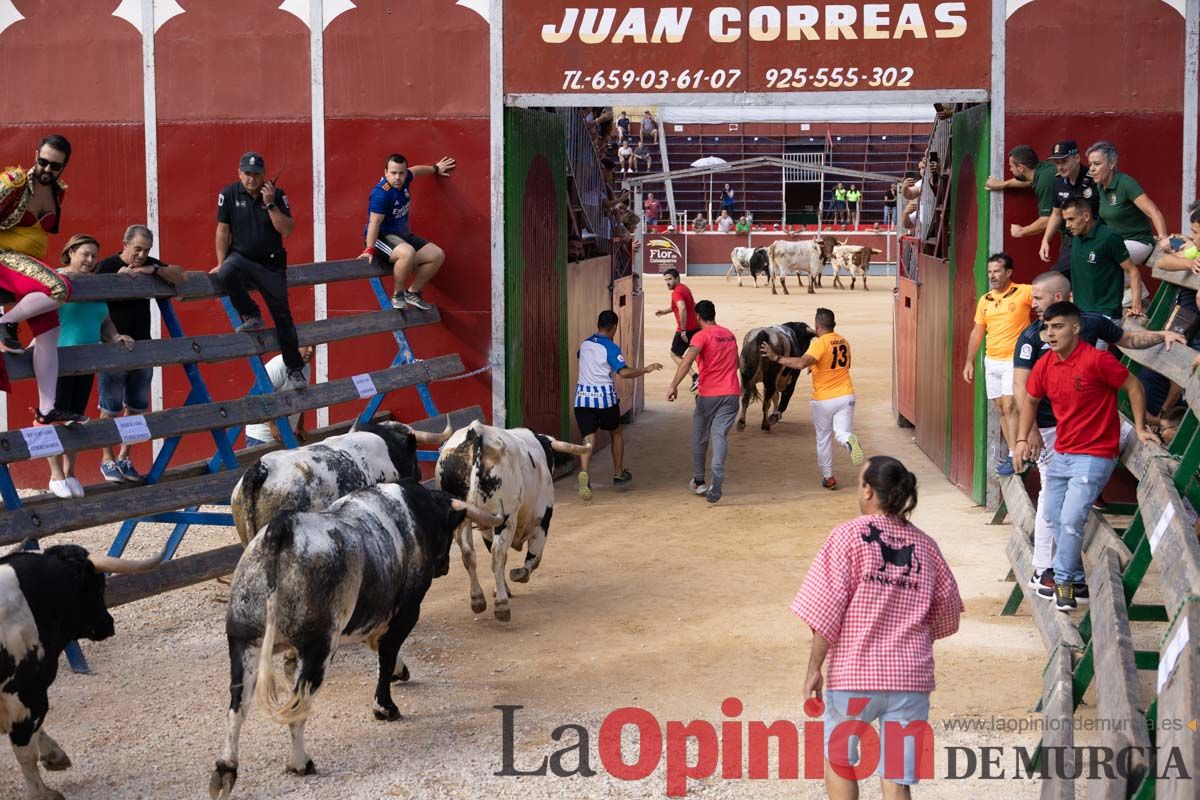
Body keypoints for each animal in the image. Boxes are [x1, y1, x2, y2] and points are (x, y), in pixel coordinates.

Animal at [0, 542, 162, 796]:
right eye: (99, 586)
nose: (109, 623)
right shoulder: (27, 694)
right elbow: (26, 753)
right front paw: (42, 794)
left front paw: (55, 756)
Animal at [208, 482, 499, 800]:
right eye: (446, 529)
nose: (444, 566)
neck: (414, 511)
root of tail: (282, 528)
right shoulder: (408, 609)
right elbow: (387, 652)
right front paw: (385, 708)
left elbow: (379, 646)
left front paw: (400, 672)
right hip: (318, 649)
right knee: (297, 705)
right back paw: (300, 763)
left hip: (243, 641)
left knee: (237, 706)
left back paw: (226, 770)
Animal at [439, 422, 592, 623]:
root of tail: (476, 430)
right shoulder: (543, 518)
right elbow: (534, 558)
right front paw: (519, 575)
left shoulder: (486, 528)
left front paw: (501, 588)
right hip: (505, 518)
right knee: (497, 554)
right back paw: (501, 606)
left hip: (464, 516)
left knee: (469, 553)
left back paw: (478, 599)